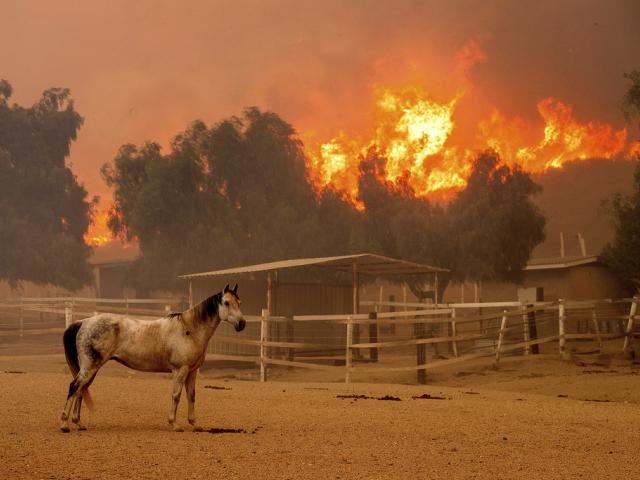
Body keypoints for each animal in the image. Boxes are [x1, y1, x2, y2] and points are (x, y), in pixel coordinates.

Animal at [60, 284, 245, 434]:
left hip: (90, 369)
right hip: (89, 367)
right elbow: (176, 395)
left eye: (239, 302)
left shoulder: (192, 372)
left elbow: (191, 396)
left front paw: (195, 424)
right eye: (226, 303)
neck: (189, 330)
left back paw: (78, 423)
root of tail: (84, 322)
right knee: (74, 387)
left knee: (80, 390)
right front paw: (174, 424)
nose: (242, 323)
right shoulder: (180, 370)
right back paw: (64, 425)